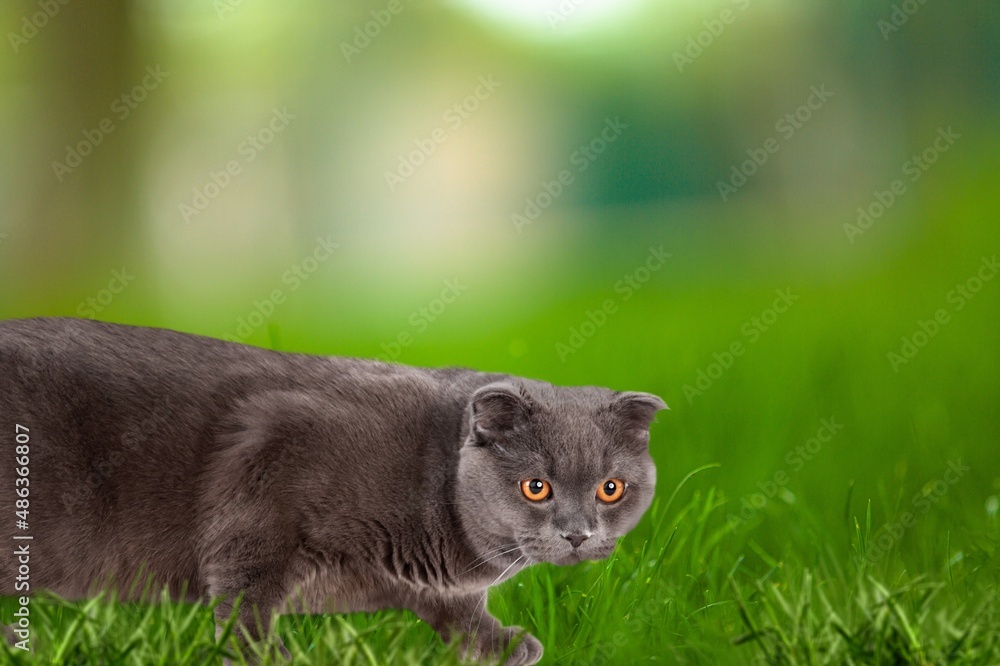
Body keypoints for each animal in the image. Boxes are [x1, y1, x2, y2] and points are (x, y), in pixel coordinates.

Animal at [0, 320, 664, 660]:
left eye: (610, 489)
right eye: (536, 487)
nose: (578, 535)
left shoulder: (433, 586)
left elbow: (458, 611)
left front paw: (502, 644)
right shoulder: (260, 488)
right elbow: (245, 600)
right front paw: (269, 657)